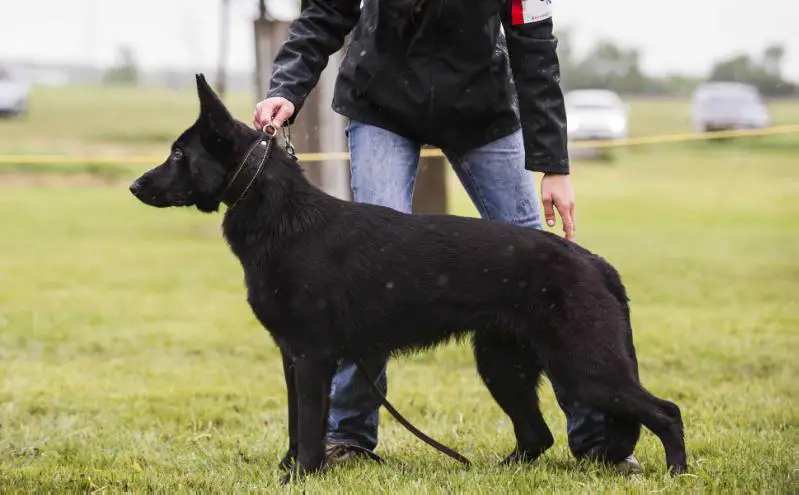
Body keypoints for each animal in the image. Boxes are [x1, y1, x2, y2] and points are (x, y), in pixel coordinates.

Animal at [131, 75, 688, 482]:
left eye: (179, 155)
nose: (135, 186)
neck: (281, 215)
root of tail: (595, 262)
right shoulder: (292, 357)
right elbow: (294, 425)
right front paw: (289, 469)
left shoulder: (312, 358)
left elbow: (308, 426)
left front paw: (300, 477)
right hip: (504, 367)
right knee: (538, 437)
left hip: (583, 368)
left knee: (666, 412)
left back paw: (677, 472)